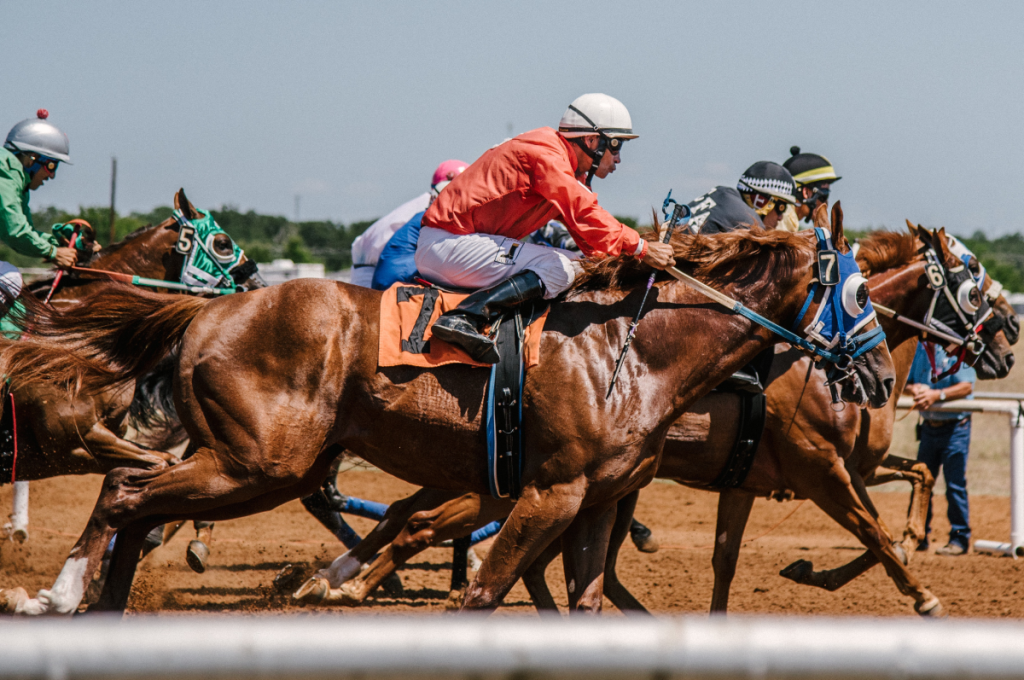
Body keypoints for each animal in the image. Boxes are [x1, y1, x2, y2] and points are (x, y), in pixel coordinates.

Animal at [0, 206, 892, 614]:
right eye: (858, 294)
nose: (884, 377)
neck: (632, 352)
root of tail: (211, 308)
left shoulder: (598, 501)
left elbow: (584, 598)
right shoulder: (551, 493)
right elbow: (483, 590)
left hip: (261, 464)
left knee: (136, 503)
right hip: (260, 464)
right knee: (129, 494)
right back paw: (61, 594)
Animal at [299, 222, 1011, 614]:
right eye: (975, 283)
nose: (1006, 347)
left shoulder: (763, 479)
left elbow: (732, 558)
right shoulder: (819, 468)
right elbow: (877, 534)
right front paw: (921, 593)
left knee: (432, 522)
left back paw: (336, 580)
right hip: (510, 482)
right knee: (426, 522)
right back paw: (342, 584)